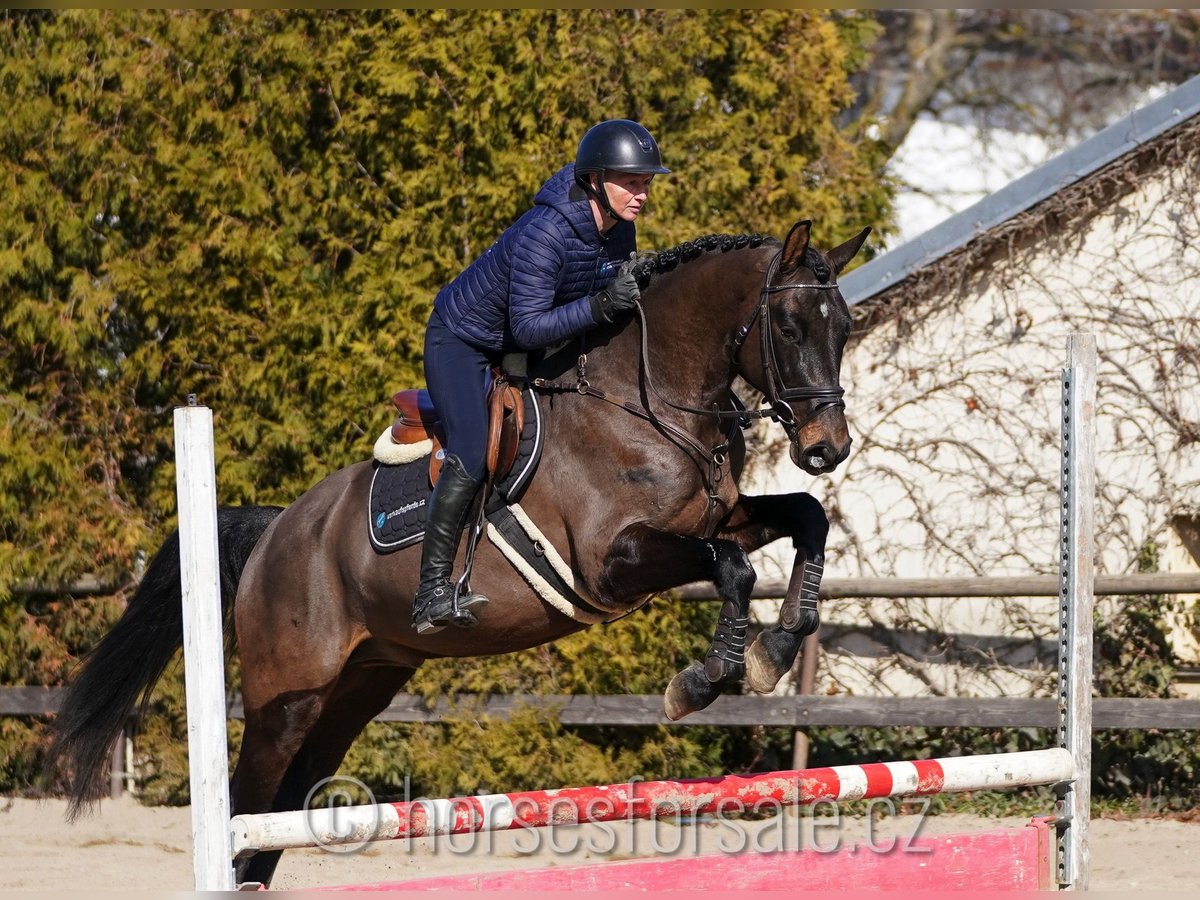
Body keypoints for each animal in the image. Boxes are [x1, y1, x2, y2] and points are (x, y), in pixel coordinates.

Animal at [46, 220, 868, 888]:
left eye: (847, 326)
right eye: (789, 324)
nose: (827, 449)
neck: (648, 399)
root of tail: (277, 531)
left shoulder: (718, 518)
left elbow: (803, 521)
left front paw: (777, 647)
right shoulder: (614, 562)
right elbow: (733, 568)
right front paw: (707, 679)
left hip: (362, 684)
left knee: (284, 811)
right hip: (288, 694)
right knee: (249, 810)